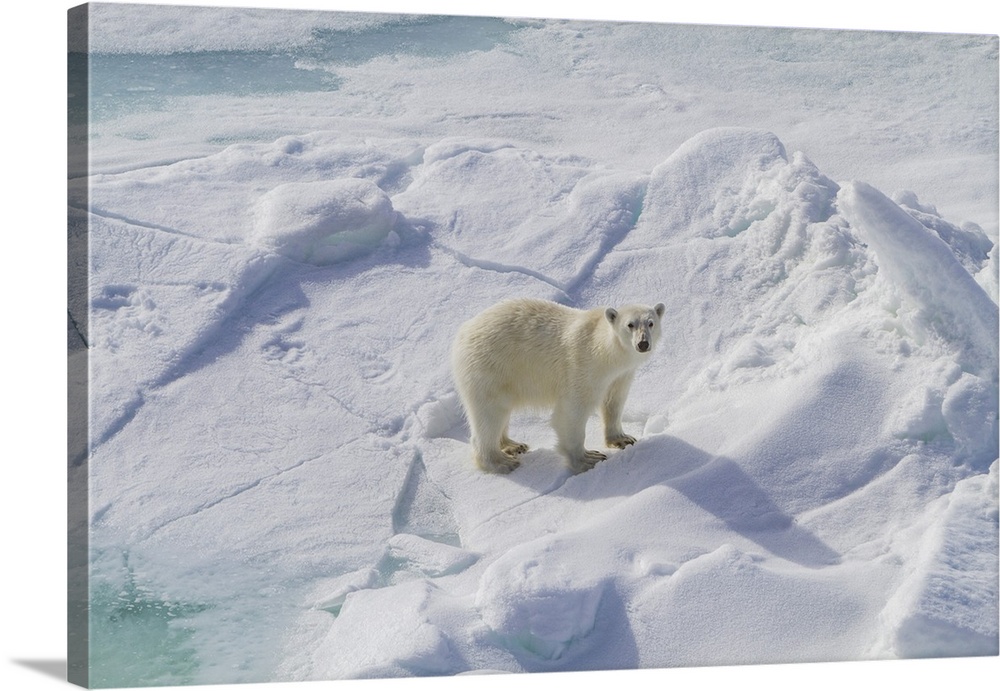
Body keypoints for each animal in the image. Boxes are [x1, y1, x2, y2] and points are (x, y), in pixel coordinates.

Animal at [451, 298, 665, 474]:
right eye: (630, 325)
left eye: (651, 323)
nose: (643, 344)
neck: (605, 351)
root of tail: (463, 332)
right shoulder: (583, 367)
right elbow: (572, 411)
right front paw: (588, 459)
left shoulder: (621, 375)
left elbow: (614, 401)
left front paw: (623, 438)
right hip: (490, 368)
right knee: (490, 414)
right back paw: (500, 462)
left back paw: (513, 444)